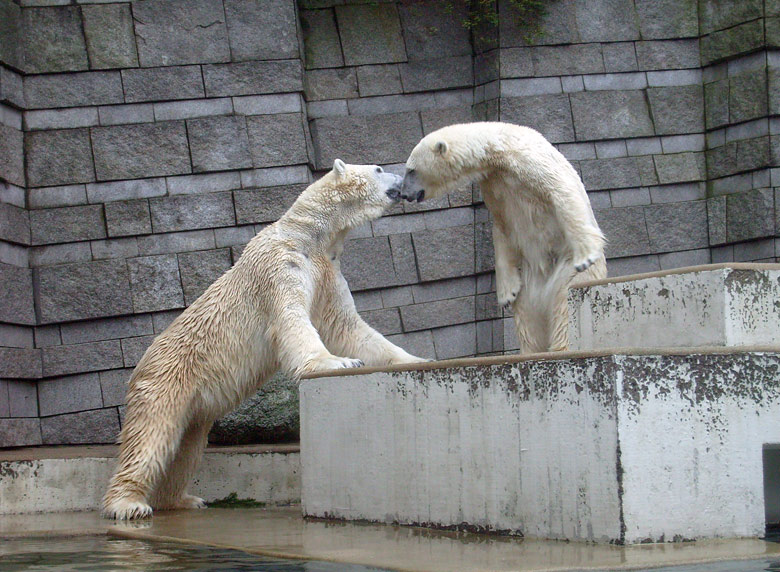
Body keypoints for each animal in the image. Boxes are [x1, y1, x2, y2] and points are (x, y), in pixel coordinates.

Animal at [103, 159, 426, 520]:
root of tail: (139, 367)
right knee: (152, 437)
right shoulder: (280, 266)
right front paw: (336, 361)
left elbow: (349, 327)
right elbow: (292, 319)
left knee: (186, 447)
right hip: (167, 382)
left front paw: (415, 359)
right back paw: (128, 504)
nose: (404, 176)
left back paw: (181, 499)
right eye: (379, 169)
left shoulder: (326, 271)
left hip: (192, 405)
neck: (309, 237)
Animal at [402, 122, 608, 354]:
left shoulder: (531, 163)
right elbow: (502, 229)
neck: (500, 151)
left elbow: (562, 193)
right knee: (528, 320)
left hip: (567, 275)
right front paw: (506, 294)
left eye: (411, 170)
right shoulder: (494, 185)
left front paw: (586, 256)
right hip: (529, 284)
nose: (403, 193)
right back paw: (529, 350)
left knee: (563, 309)